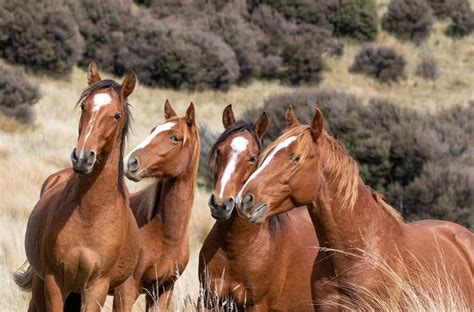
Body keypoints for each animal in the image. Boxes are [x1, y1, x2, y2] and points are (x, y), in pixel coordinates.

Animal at [14, 62, 140, 310]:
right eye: (84, 106)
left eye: (116, 115)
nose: (82, 158)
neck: (89, 214)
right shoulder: (54, 282)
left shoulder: (96, 287)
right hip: (42, 285)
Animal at [199, 105, 318, 312]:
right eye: (219, 152)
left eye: (252, 158)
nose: (221, 204)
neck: (234, 249)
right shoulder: (208, 301)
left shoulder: (256, 305)